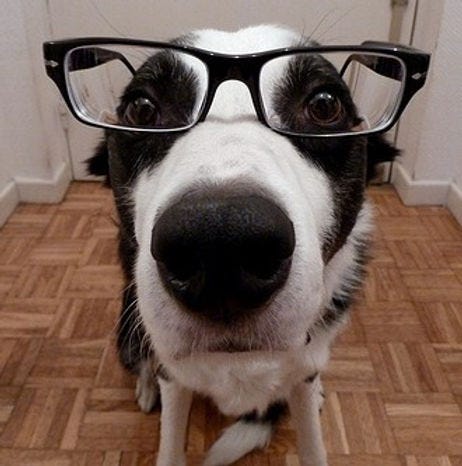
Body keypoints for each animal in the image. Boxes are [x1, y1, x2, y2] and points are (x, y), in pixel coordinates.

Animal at [87, 25, 400, 466]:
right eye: (143, 110)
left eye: (324, 105)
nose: (220, 243)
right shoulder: (173, 373)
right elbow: (170, 435)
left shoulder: (303, 368)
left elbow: (311, 436)